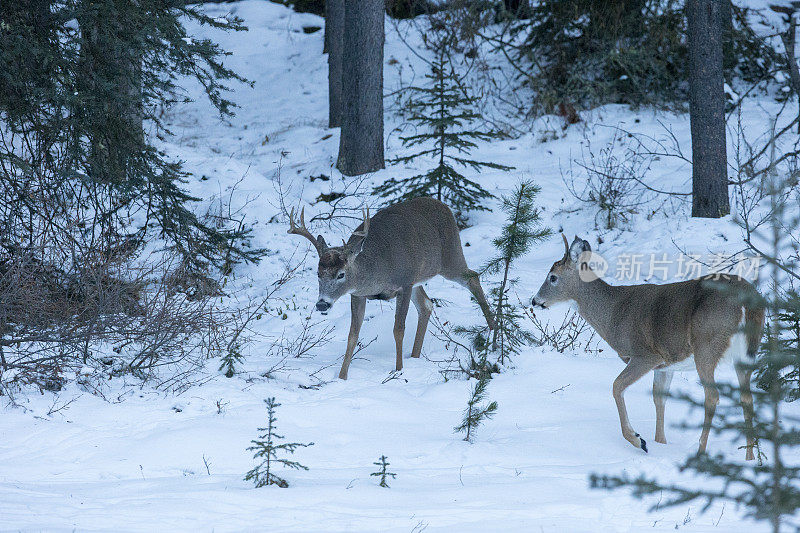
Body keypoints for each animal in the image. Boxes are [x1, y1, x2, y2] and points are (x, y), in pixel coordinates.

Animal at [288, 197, 494, 380]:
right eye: (318, 273)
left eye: (341, 274)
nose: (322, 304)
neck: (377, 271)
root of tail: (444, 206)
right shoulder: (358, 294)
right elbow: (352, 335)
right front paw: (341, 377)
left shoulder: (404, 283)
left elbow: (398, 329)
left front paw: (399, 370)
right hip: (419, 278)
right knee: (427, 304)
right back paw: (415, 356)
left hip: (450, 257)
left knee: (473, 277)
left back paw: (494, 332)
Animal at [532, 235, 764, 460]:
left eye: (552, 277)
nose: (534, 301)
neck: (612, 313)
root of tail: (747, 301)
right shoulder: (666, 364)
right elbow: (658, 399)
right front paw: (660, 443)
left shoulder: (646, 355)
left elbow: (617, 386)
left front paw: (639, 440)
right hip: (747, 352)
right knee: (747, 397)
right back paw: (751, 458)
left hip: (706, 344)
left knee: (712, 396)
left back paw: (701, 453)